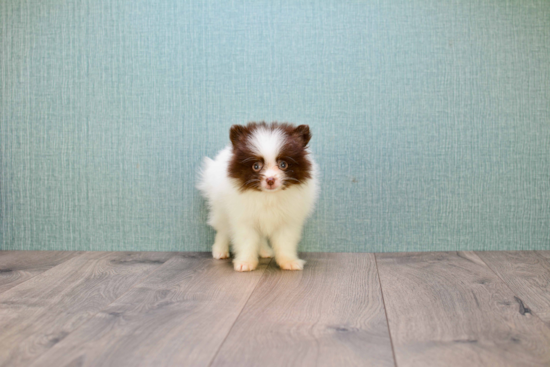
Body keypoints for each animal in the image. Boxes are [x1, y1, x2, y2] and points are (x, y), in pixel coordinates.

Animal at [198, 122, 320, 272]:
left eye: (283, 165)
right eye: (256, 166)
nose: (270, 179)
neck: (268, 196)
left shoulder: (287, 220)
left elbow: (285, 242)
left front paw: (289, 262)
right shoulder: (243, 218)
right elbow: (246, 241)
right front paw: (245, 263)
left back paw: (264, 251)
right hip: (220, 207)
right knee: (222, 229)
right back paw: (219, 251)